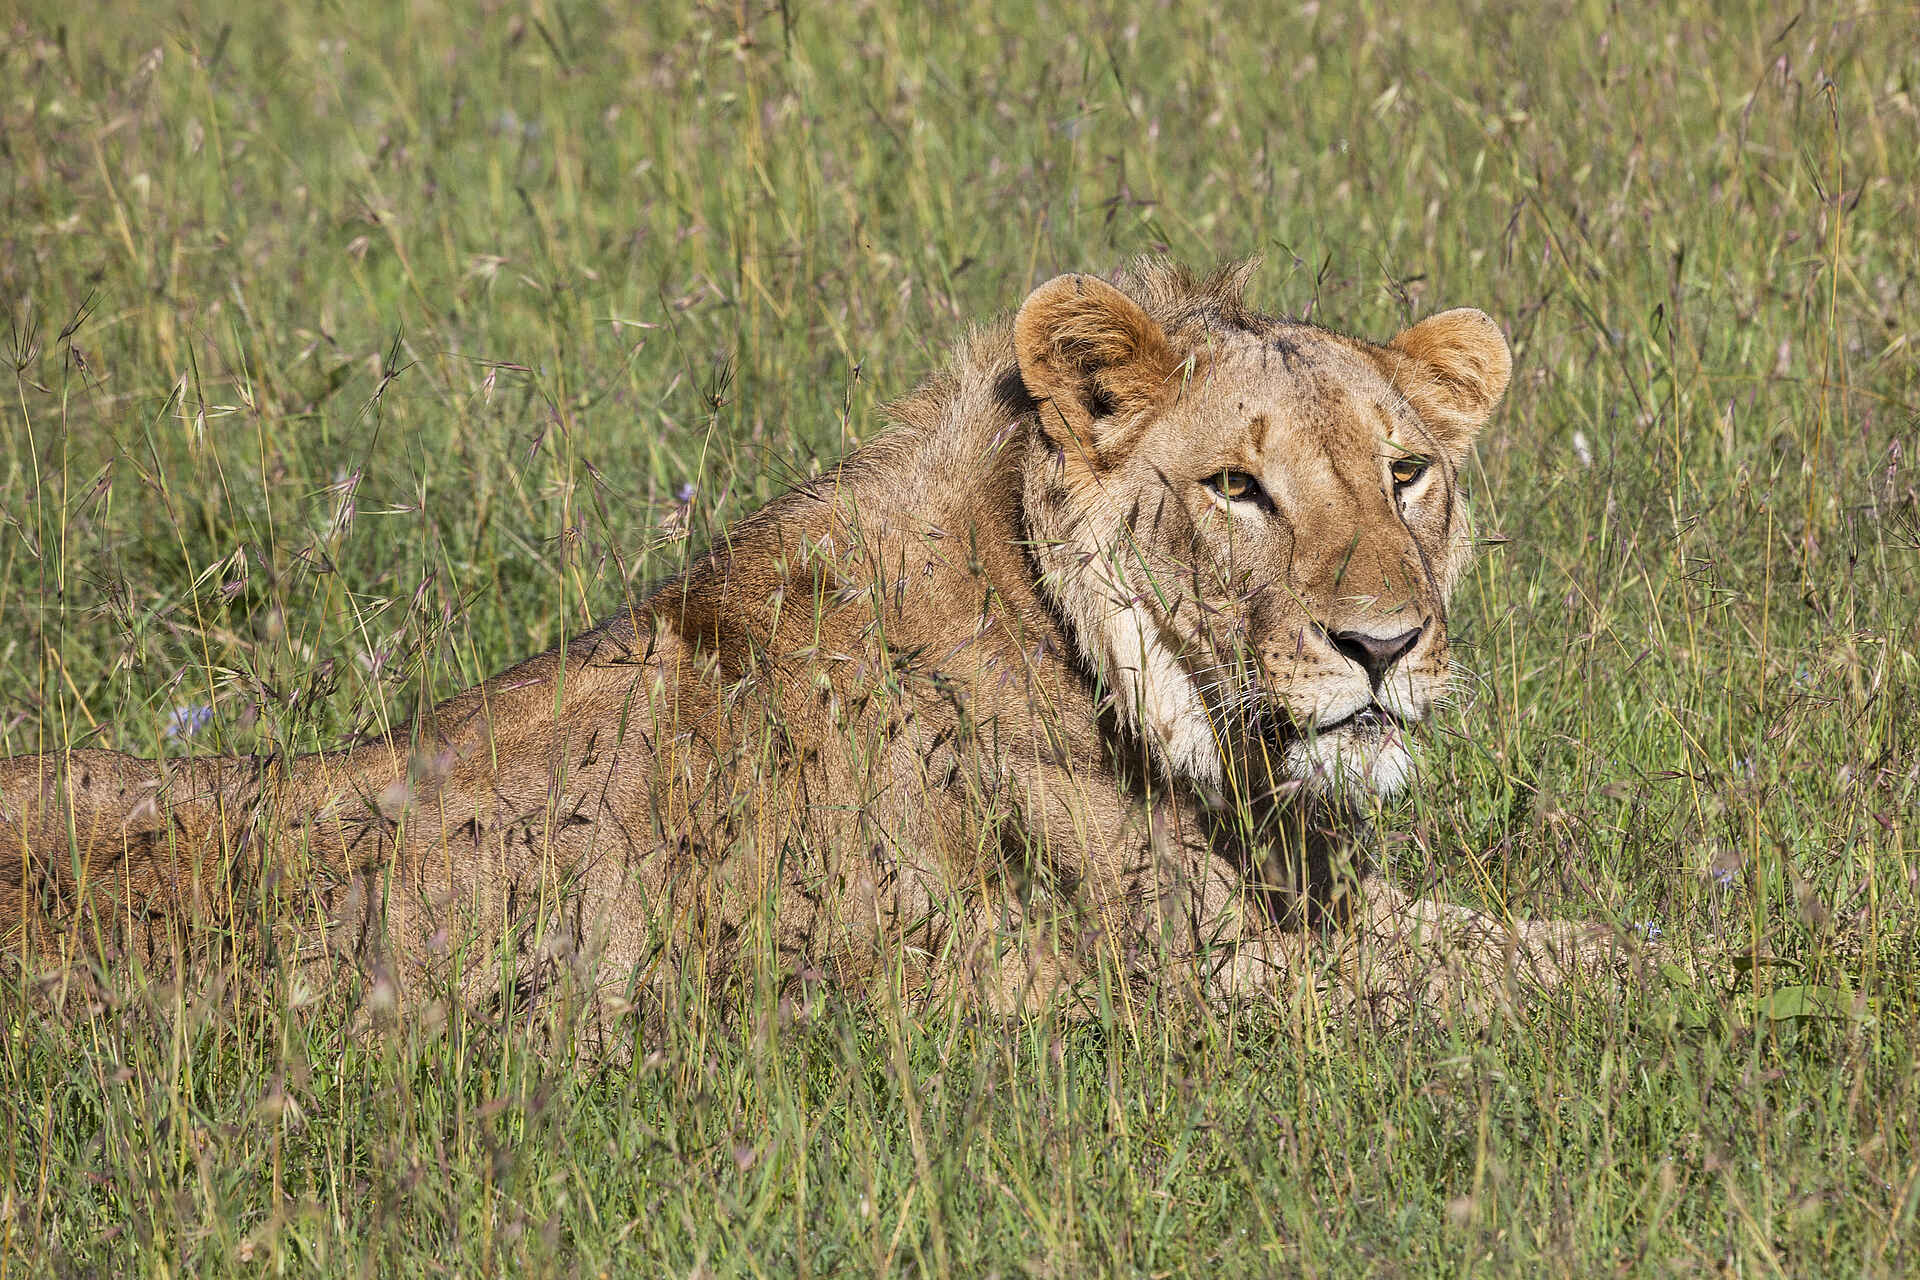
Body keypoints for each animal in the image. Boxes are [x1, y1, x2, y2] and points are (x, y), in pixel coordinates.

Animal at [1, 258, 1626, 1031]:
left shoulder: (1321, 908)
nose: (1383, 644)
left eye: (1406, 472)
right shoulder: (1197, 987)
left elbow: (1584, 944)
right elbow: (1507, 998)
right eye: (1237, 486)